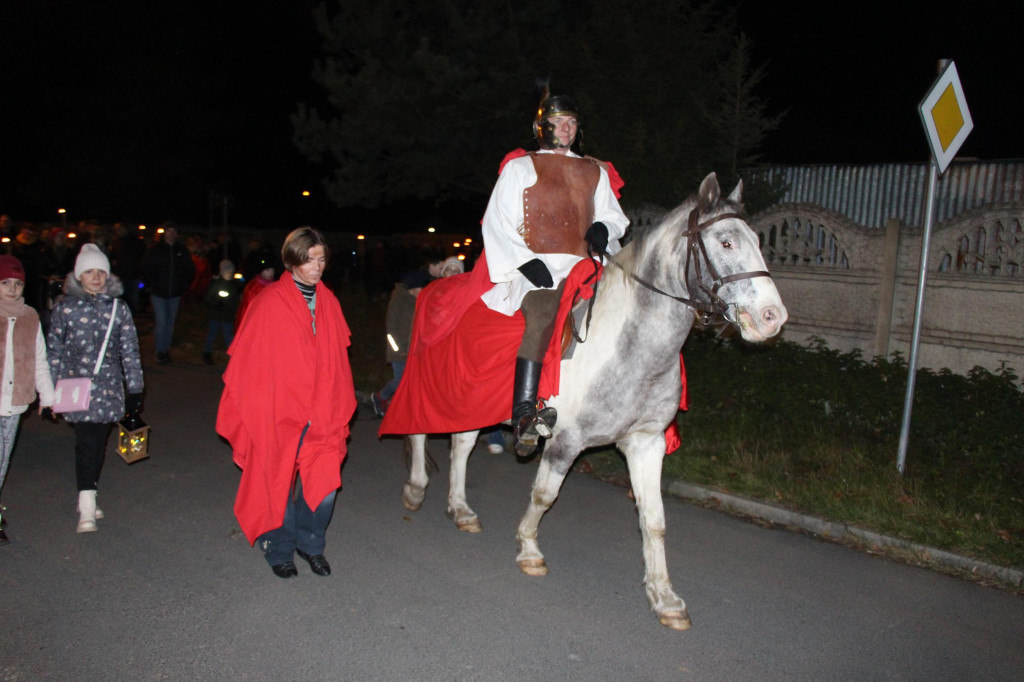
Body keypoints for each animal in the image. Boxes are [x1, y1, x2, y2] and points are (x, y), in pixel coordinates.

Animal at [399, 173, 782, 630]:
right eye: (725, 242)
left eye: (757, 240)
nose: (773, 317)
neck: (628, 346)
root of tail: (437, 284)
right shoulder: (566, 441)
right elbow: (544, 495)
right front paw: (529, 549)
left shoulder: (646, 444)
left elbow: (654, 520)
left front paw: (665, 597)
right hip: (431, 386)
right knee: (419, 429)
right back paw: (415, 489)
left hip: (470, 399)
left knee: (460, 444)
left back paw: (461, 510)